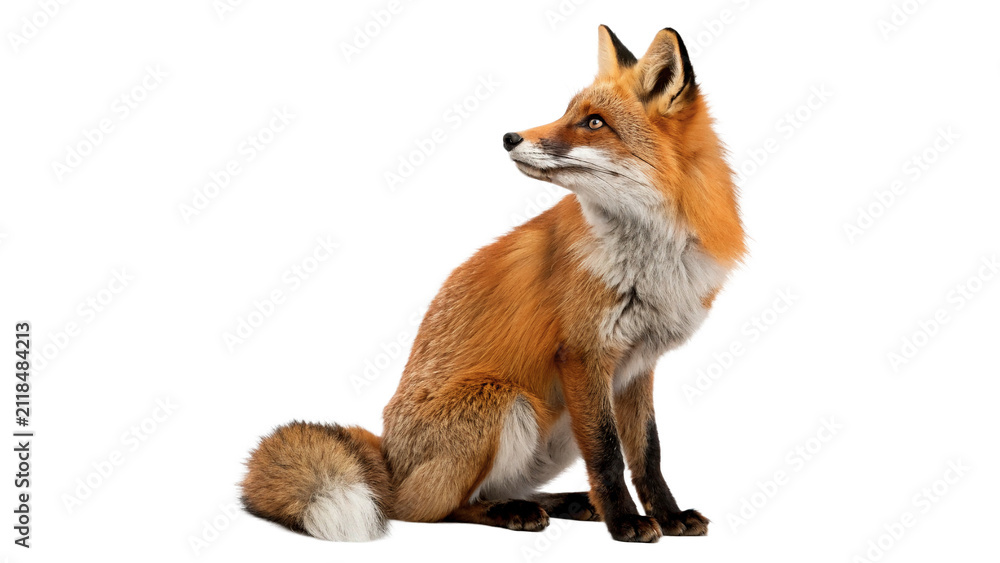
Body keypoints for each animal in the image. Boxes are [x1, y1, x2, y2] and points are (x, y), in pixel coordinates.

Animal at [240, 25, 746, 543]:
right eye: (569, 112)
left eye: (594, 123)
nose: (509, 136)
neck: (652, 261)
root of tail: (387, 456)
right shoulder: (583, 355)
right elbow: (607, 455)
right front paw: (625, 522)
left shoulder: (635, 366)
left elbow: (647, 454)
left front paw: (669, 515)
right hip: (504, 400)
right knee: (432, 508)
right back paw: (514, 512)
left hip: (557, 426)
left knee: (490, 489)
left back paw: (561, 502)